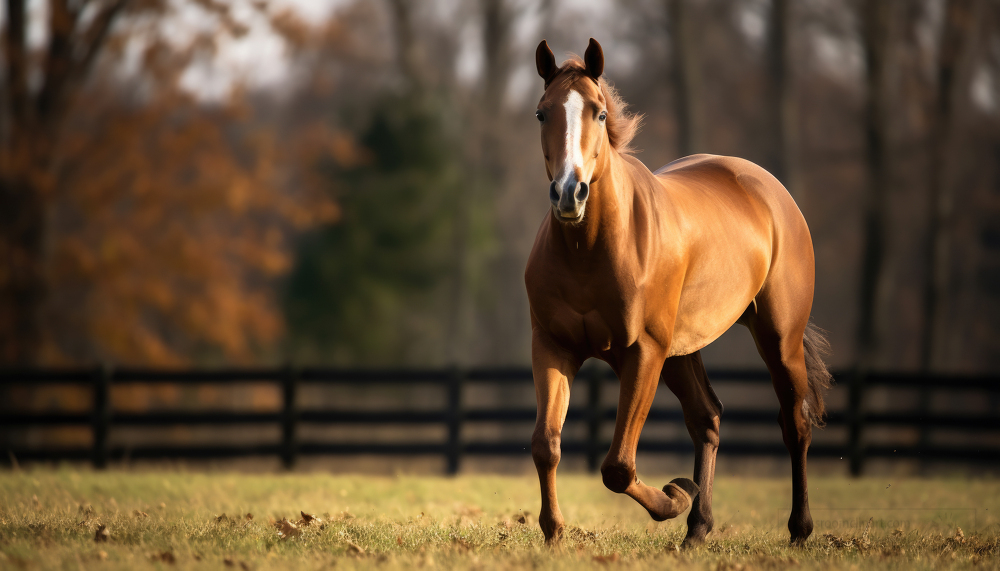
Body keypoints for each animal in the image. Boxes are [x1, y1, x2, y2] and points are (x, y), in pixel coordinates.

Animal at [528, 38, 832, 548]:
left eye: (599, 113)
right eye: (541, 113)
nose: (570, 193)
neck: (591, 250)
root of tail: (772, 192)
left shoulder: (643, 352)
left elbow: (617, 466)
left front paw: (674, 496)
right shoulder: (554, 348)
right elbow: (546, 445)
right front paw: (553, 534)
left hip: (778, 339)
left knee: (795, 424)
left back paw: (798, 529)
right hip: (682, 351)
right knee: (707, 418)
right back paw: (698, 528)